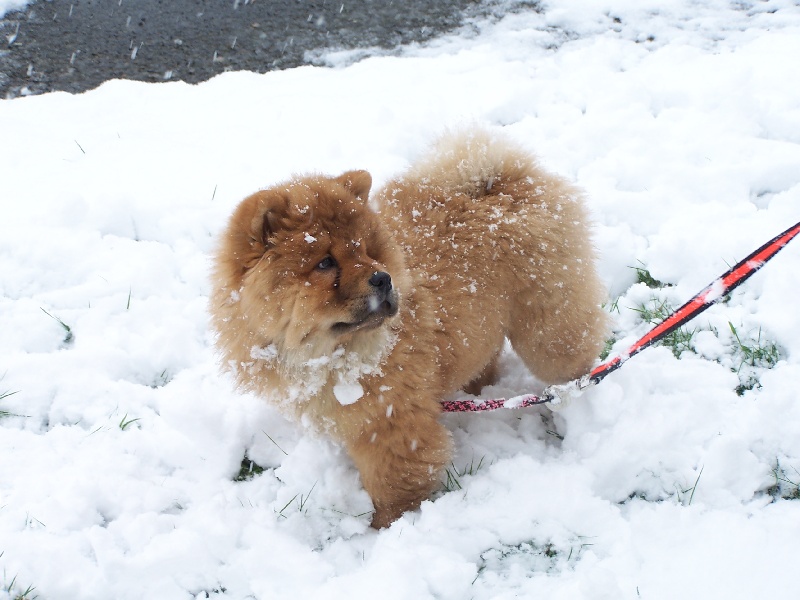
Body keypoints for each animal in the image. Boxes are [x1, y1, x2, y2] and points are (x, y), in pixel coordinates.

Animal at [209, 129, 608, 528]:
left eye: (367, 250)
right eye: (325, 263)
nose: (382, 277)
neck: (331, 354)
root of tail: (504, 179)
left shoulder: (392, 422)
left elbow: (392, 484)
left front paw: (386, 528)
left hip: (548, 324)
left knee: (573, 362)